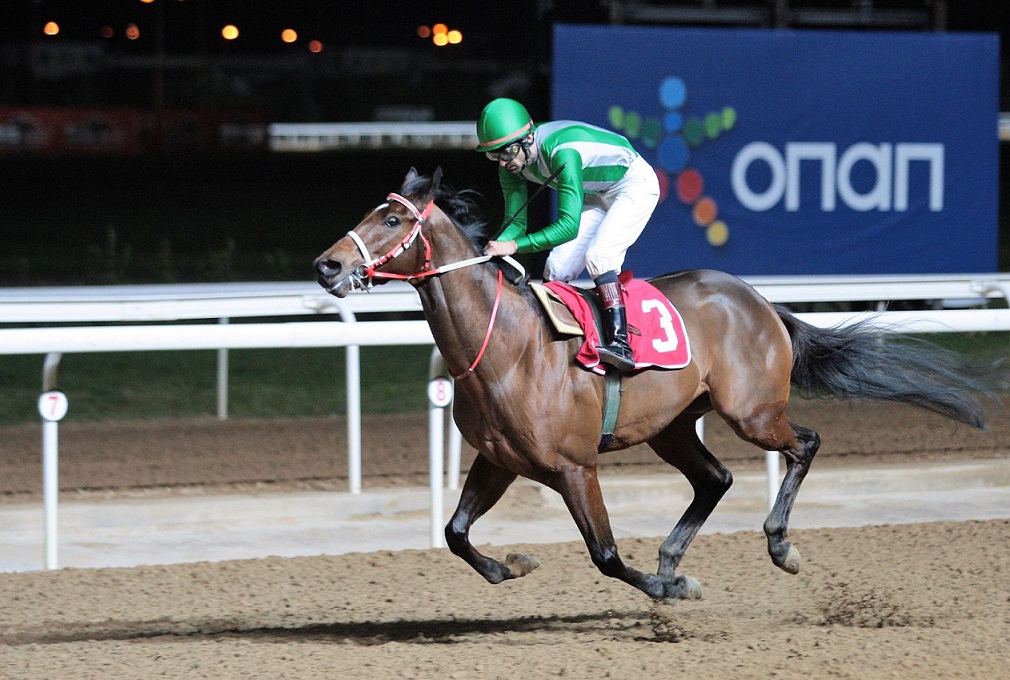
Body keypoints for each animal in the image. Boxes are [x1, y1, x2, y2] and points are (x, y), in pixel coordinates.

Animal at [313, 168, 993, 598]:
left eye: (391, 218)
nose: (328, 264)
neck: (505, 347)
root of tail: (759, 301)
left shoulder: (574, 467)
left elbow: (606, 555)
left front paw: (671, 589)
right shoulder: (500, 459)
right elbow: (455, 534)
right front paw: (515, 566)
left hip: (751, 412)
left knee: (805, 443)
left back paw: (777, 547)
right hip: (672, 427)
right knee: (715, 479)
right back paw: (673, 553)